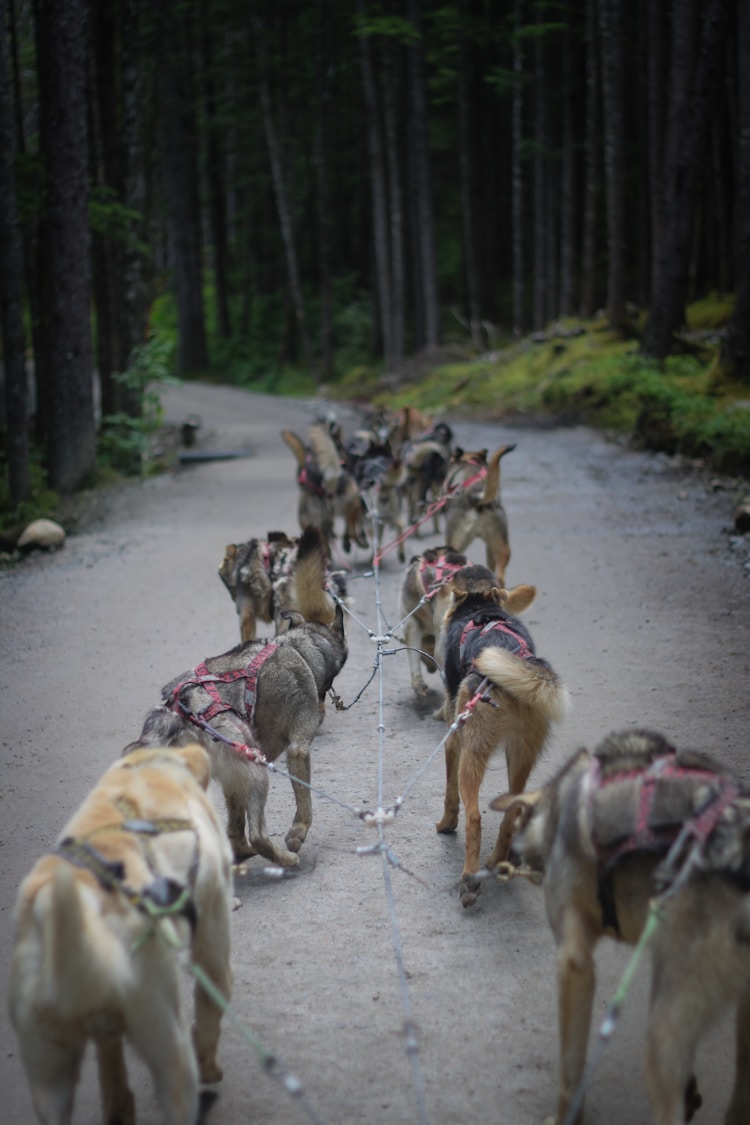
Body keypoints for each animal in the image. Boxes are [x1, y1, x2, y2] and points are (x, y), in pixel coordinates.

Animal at [8, 742, 231, 1125]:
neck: (144, 770)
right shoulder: (212, 935)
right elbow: (209, 1011)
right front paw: (210, 1067)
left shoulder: (105, 1025)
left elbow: (111, 1070)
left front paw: (119, 1104)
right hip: (166, 1041)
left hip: (48, 1072)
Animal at [127, 607, 348, 859]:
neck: (300, 647)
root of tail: (180, 712)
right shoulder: (298, 748)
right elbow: (305, 805)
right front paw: (297, 833)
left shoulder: (232, 778)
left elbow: (235, 822)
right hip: (256, 770)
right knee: (258, 836)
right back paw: (285, 858)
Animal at [436, 562, 566, 904]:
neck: (481, 609)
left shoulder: (453, 740)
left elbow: (450, 795)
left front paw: (446, 823)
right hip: (521, 755)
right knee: (513, 808)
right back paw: (499, 859)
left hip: (472, 756)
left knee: (474, 818)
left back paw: (470, 879)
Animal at [445, 443, 517, 585]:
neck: (471, 460)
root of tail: (476, 497)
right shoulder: (490, 546)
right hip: (502, 547)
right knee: (500, 575)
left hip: (454, 544)